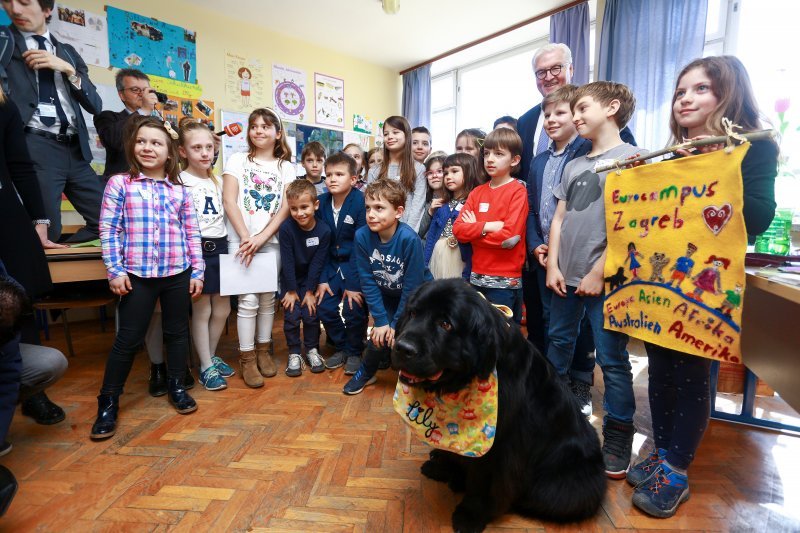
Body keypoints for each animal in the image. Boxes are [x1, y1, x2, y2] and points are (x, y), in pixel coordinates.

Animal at [390, 280, 604, 528]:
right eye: (413, 313)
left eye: (445, 324)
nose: (403, 348)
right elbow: (455, 450)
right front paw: (444, 467)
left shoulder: (500, 445)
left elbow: (485, 480)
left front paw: (471, 514)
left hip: (563, 484)